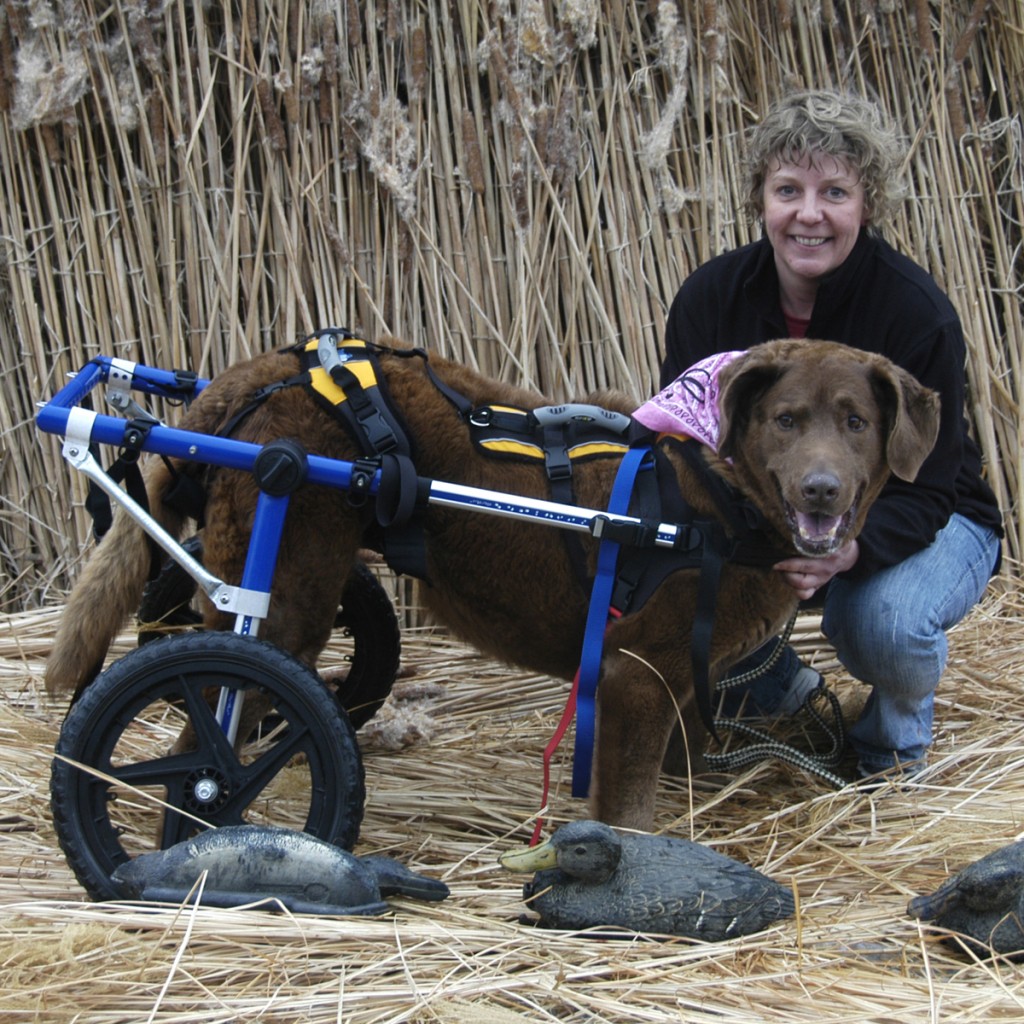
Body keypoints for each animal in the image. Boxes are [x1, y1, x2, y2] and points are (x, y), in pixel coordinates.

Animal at [44, 335, 937, 831]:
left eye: (855, 422)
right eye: (787, 421)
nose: (821, 490)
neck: (716, 498)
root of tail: (242, 383)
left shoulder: (674, 683)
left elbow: (669, 782)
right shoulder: (633, 676)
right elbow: (632, 812)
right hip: (283, 600)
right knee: (204, 737)